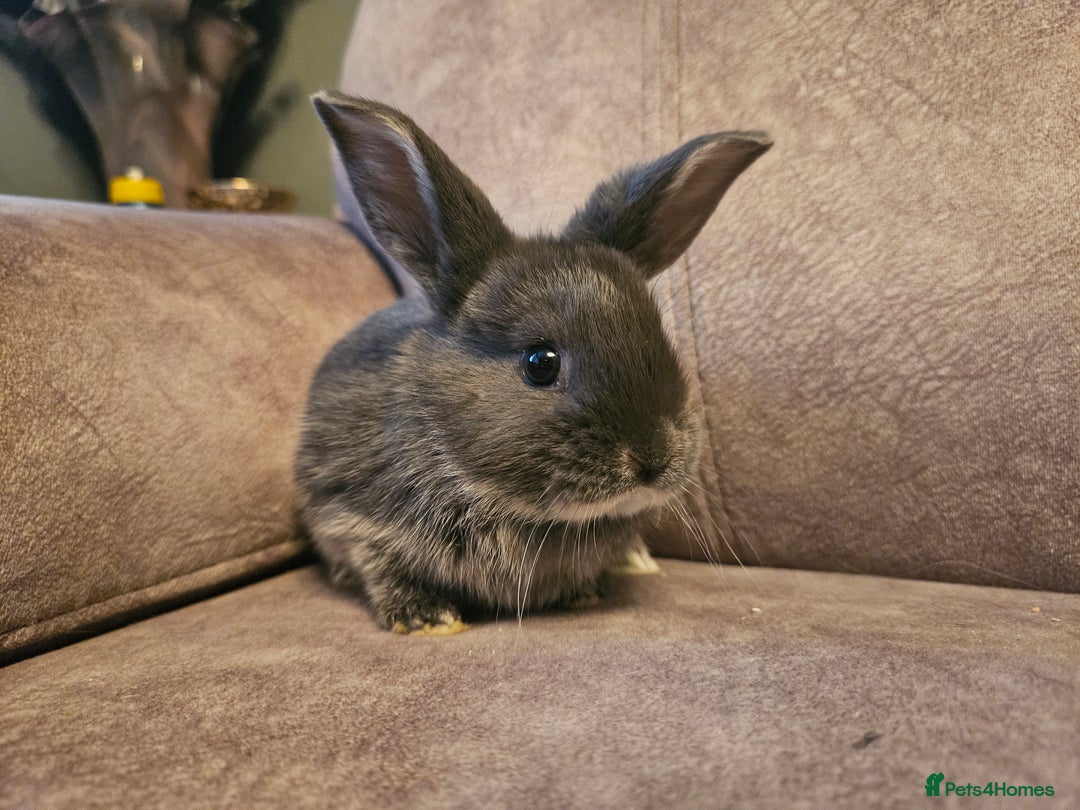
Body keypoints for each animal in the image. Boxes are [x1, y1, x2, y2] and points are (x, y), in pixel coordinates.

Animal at [295, 91, 771, 634]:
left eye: (661, 338)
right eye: (540, 362)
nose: (653, 458)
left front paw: (584, 592)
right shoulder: (350, 517)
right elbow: (379, 565)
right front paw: (426, 618)